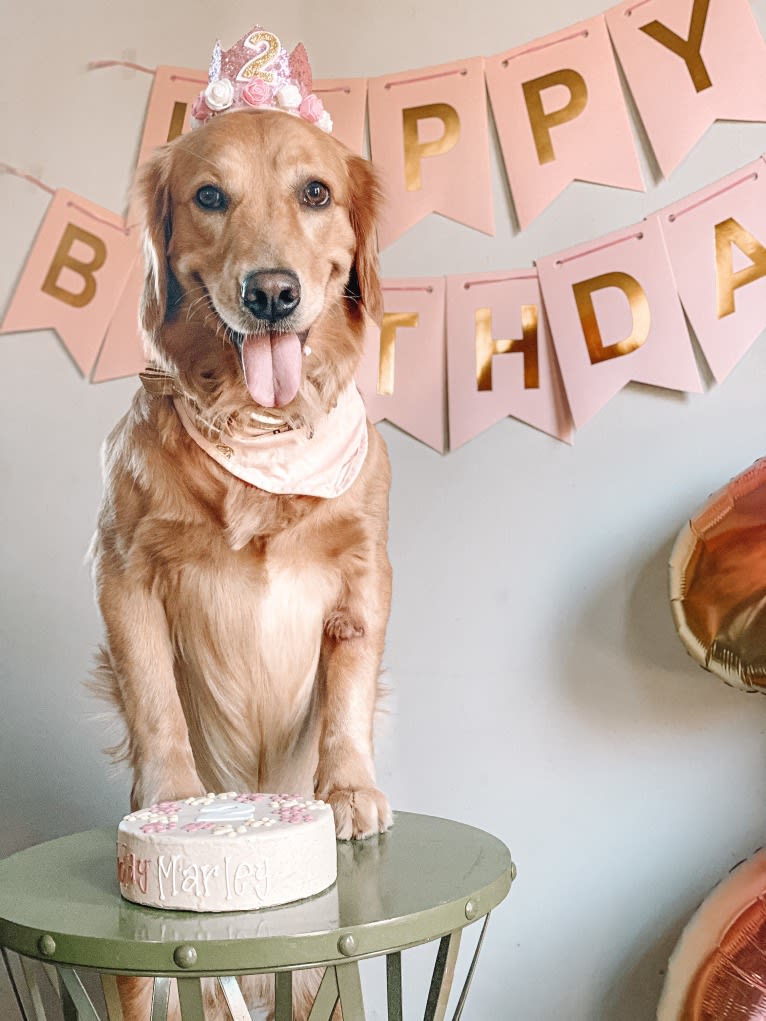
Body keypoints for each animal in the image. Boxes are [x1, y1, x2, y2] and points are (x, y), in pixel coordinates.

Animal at [94, 107, 396, 1016]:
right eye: (209, 196)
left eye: (317, 192)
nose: (271, 293)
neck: (260, 427)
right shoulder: (125, 568)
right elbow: (154, 694)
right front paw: (173, 796)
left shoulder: (364, 571)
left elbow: (348, 695)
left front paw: (348, 789)